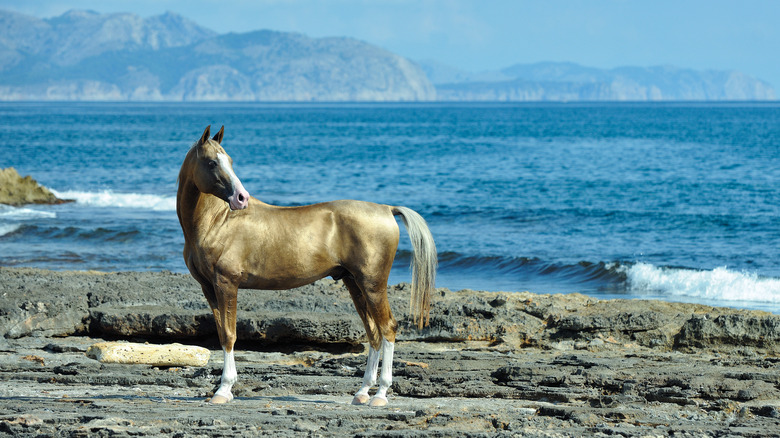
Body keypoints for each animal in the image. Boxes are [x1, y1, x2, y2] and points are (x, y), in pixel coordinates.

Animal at [176, 125, 438, 406]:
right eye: (212, 162)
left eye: (230, 161)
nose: (241, 198)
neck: (218, 222)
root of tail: (387, 209)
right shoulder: (209, 288)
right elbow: (222, 333)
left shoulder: (227, 284)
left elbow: (229, 335)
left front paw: (223, 390)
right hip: (354, 283)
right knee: (374, 333)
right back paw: (362, 392)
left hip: (372, 284)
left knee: (388, 328)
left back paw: (380, 394)